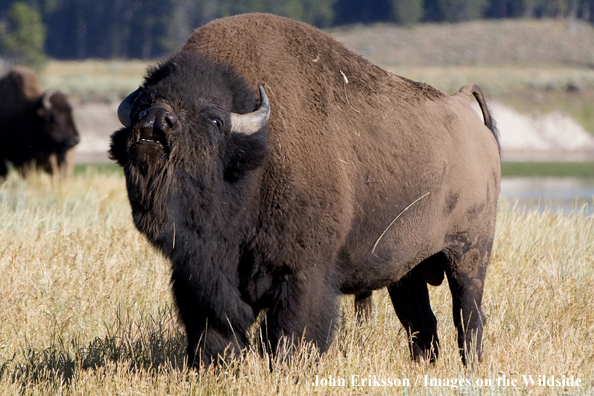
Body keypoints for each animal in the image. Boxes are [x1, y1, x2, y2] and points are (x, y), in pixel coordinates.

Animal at [110, 13, 500, 368]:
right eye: (142, 107)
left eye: (216, 120)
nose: (156, 120)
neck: (254, 152)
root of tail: (464, 111)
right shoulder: (198, 278)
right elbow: (214, 332)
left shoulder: (301, 274)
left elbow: (291, 335)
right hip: (407, 272)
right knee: (421, 323)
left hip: (469, 254)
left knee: (468, 317)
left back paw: (472, 367)